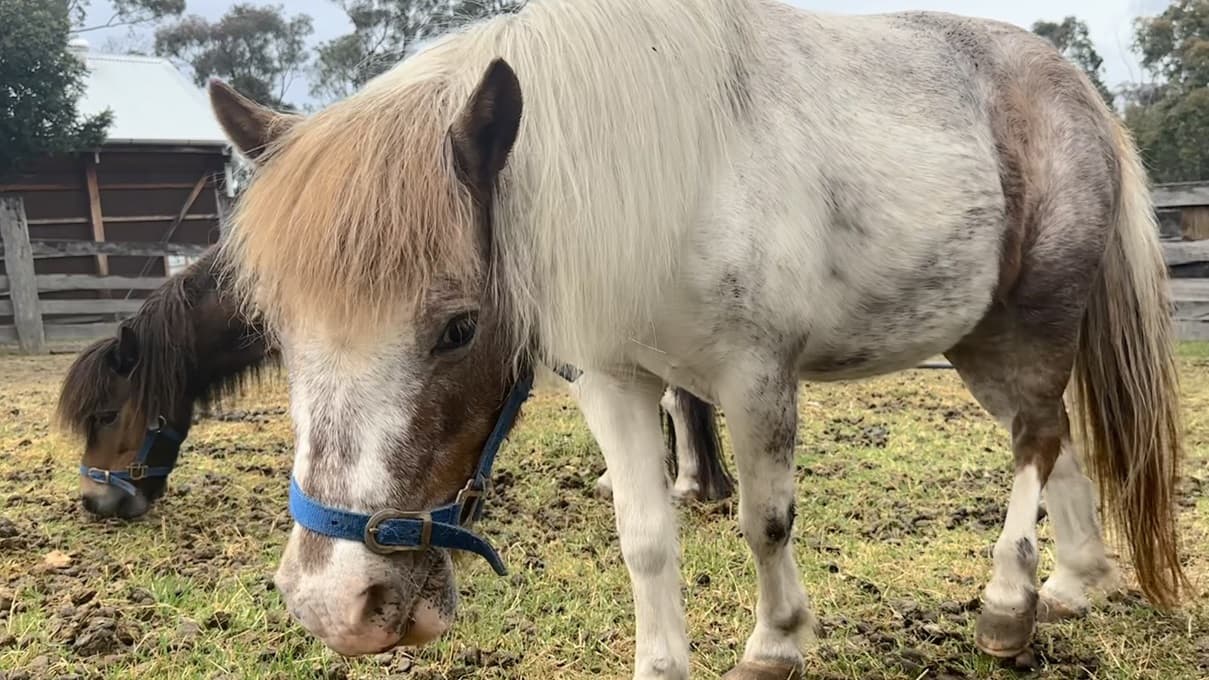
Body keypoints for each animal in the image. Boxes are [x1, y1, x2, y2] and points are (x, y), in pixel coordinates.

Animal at [206, 1, 1187, 677]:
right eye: (277, 332)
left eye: (458, 327)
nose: (333, 604)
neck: (662, 179)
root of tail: (1075, 90)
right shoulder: (611, 377)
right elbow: (644, 536)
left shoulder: (755, 376)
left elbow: (764, 520)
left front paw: (775, 643)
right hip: (978, 342)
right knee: (1053, 440)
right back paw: (1071, 583)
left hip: (1032, 321)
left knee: (1036, 439)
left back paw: (1008, 603)